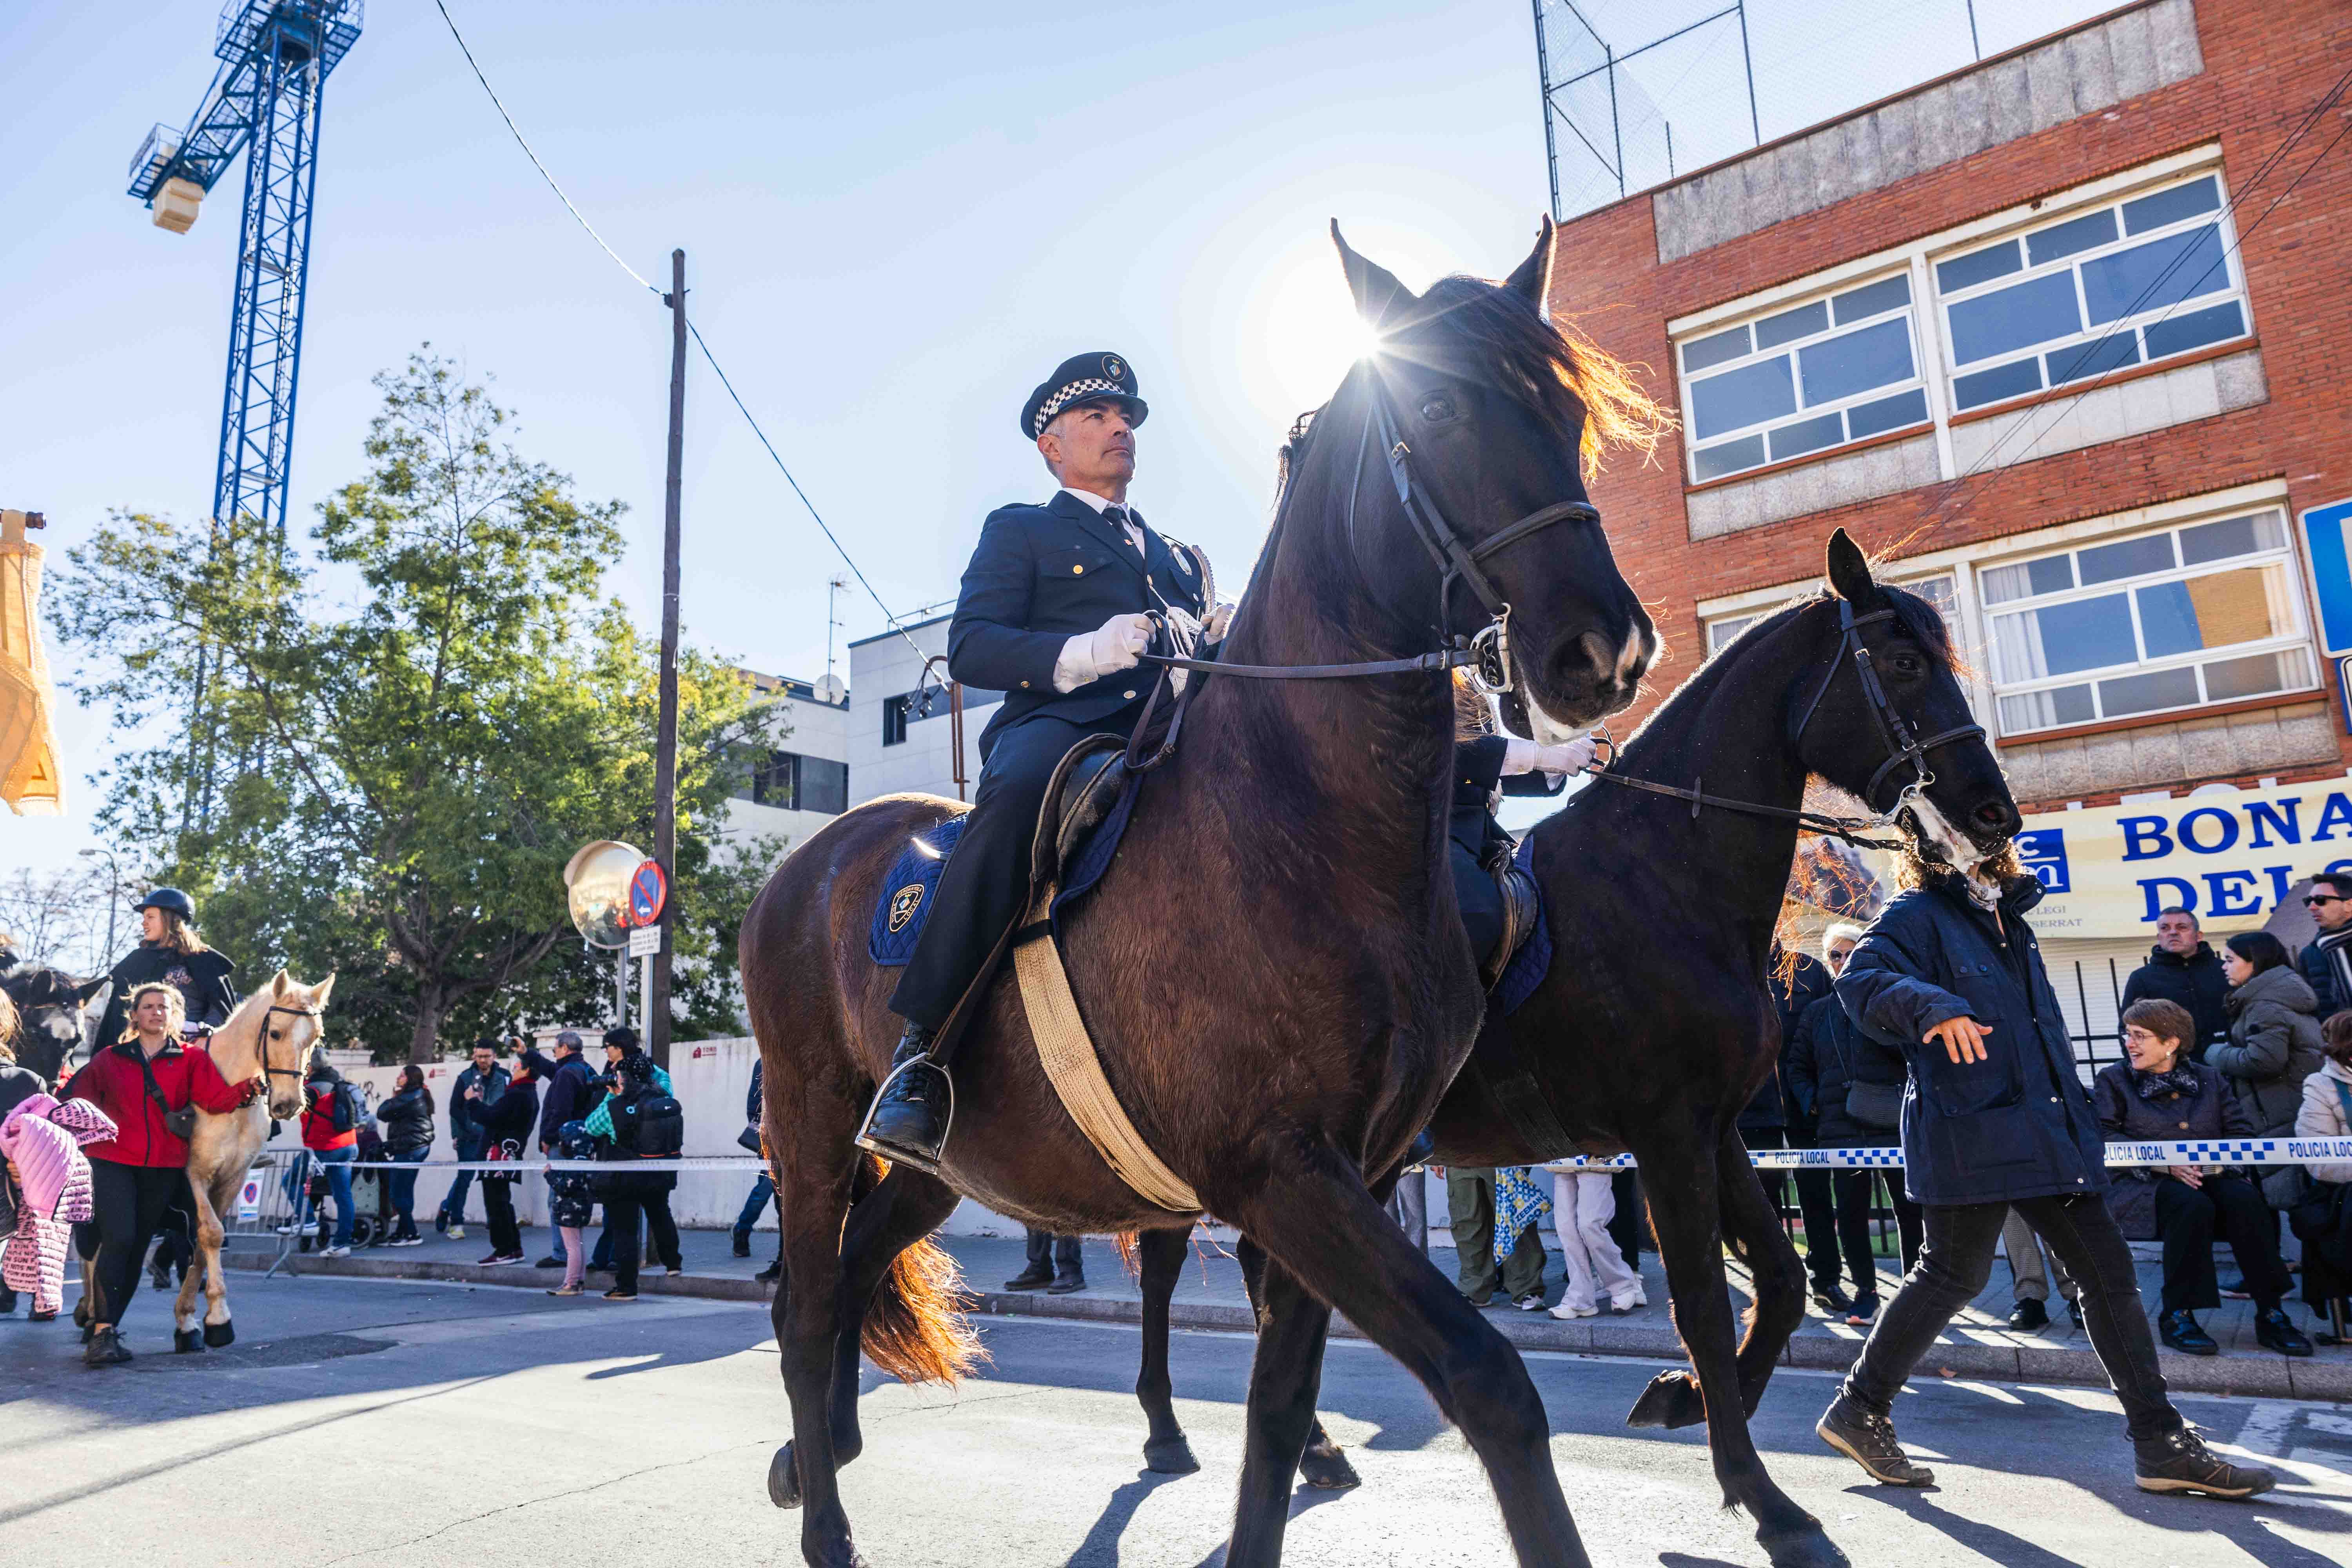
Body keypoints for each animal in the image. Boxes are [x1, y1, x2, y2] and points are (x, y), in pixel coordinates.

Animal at [171, 968, 334, 1354]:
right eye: (275, 1033)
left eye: (315, 1038)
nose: (288, 1105)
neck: (225, 1094)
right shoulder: (195, 1174)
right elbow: (211, 1233)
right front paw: (218, 1317)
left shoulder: (233, 1178)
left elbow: (204, 1244)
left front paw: (189, 1320)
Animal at [743, 221, 1665, 1568]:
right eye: (1441, 406)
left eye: (1571, 414)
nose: (1604, 651)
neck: (1308, 824)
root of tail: (804, 867)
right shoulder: (1280, 1170)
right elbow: (1488, 1381)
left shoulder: (1353, 1173)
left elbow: (1279, 1410)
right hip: (812, 1129)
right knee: (810, 1306)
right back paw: (825, 1523)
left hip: (939, 1167)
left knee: (856, 1278)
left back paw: (816, 1462)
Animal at [1120, 536, 2023, 1568]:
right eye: (1905, 662)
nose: (1993, 815)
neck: (1664, 872)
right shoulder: (1666, 1130)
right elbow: (1704, 1306)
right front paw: (1761, 1495)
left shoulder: (1713, 1128)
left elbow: (1783, 1281)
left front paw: (1689, 1404)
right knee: (1167, 1270)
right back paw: (1165, 1426)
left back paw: (1313, 1449)